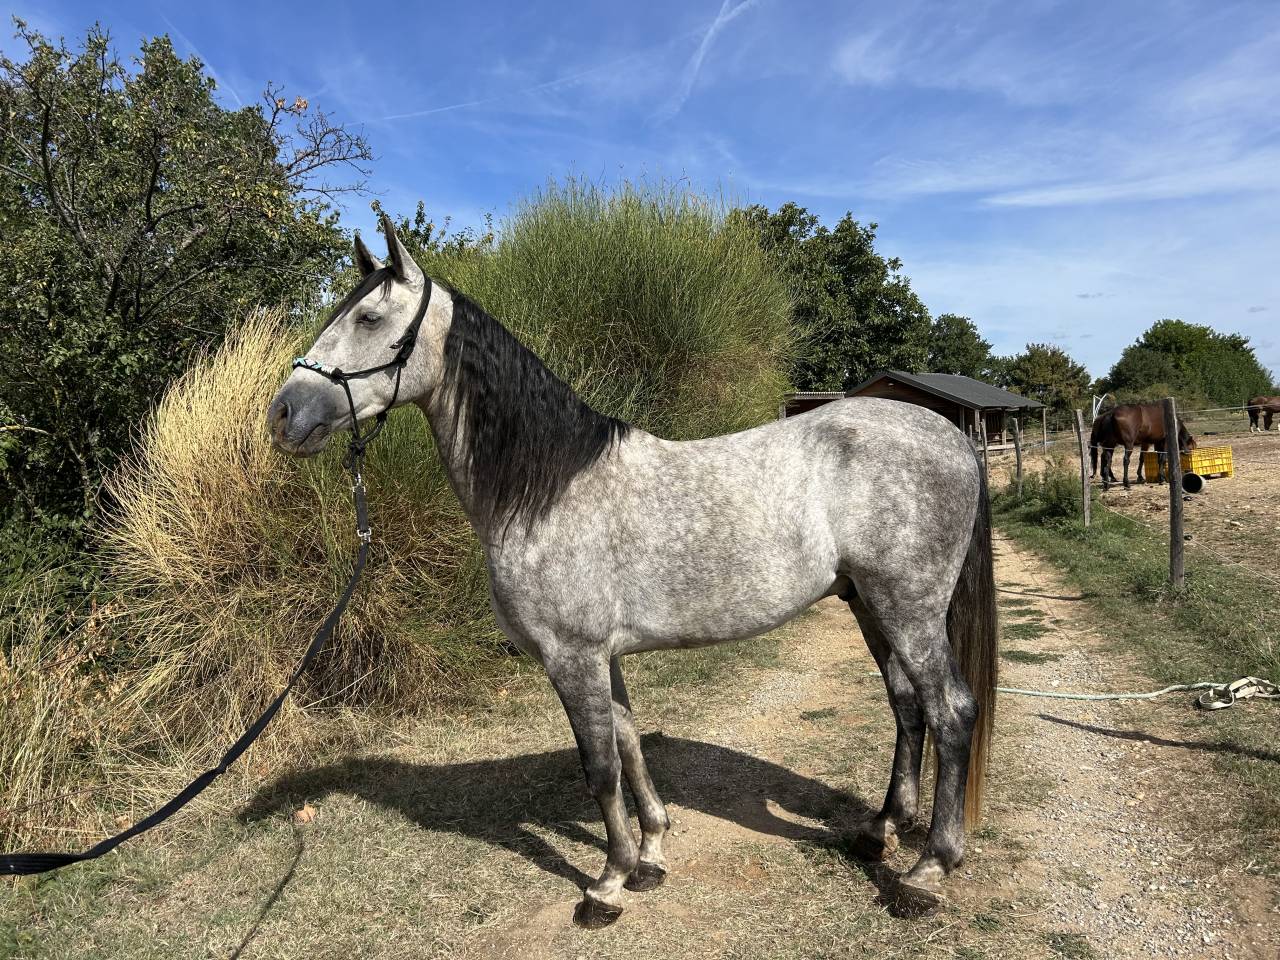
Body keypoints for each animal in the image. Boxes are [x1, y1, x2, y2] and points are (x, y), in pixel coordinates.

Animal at [267, 216, 998, 926]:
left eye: (368, 319)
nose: (284, 413)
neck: (545, 490)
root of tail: (951, 436)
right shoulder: (602, 657)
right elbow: (630, 746)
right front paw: (650, 855)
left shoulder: (571, 656)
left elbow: (598, 767)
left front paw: (607, 883)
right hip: (869, 605)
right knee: (908, 707)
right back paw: (881, 831)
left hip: (908, 607)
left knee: (951, 711)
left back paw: (928, 870)